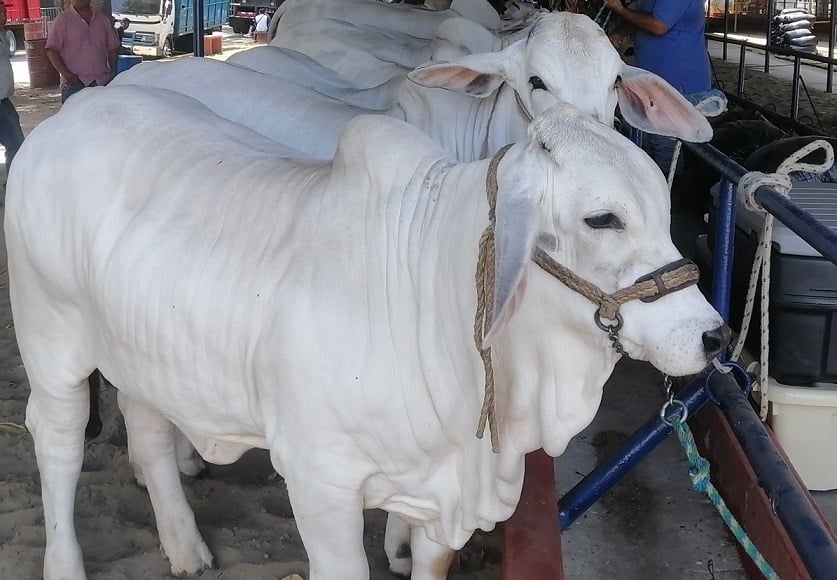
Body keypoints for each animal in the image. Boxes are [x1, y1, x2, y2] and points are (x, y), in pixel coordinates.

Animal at [8, 82, 724, 580]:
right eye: (603, 219)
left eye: (664, 210)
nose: (712, 337)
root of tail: (72, 113)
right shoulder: (319, 480)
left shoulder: (440, 498)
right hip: (51, 339)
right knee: (57, 443)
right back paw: (65, 563)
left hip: (141, 351)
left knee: (151, 435)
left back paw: (186, 548)